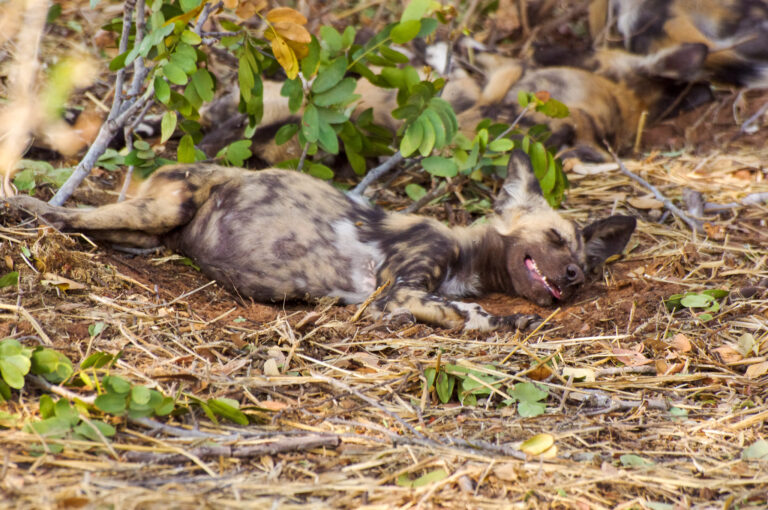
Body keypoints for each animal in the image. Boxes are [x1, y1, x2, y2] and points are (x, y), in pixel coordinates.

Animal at [9, 151, 636, 332]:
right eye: (553, 238)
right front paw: (502, 320)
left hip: (147, 230)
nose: (574, 277)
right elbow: (468, 314)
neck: (468, 257)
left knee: (92, 223)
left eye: (582, 260)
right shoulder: (396, 293)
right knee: (65, 213)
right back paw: (22, 206)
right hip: (163, 205)